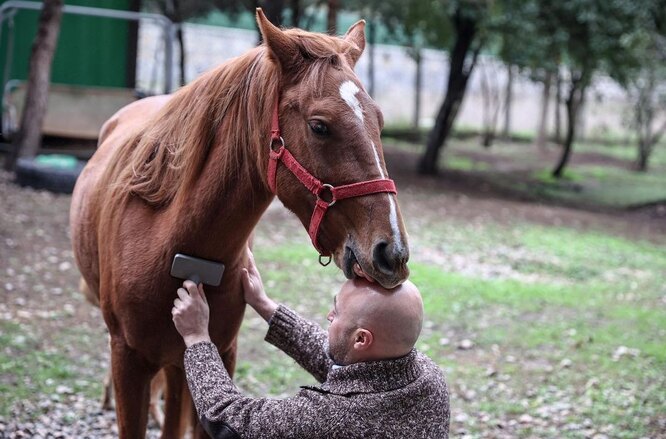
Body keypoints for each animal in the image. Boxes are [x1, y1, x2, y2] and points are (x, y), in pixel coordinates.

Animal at [70, 8, 408, 438]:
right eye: (319, 125)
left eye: (379, 121)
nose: (391, 252)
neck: (175, 247)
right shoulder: (128, 361)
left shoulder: (218, 355)